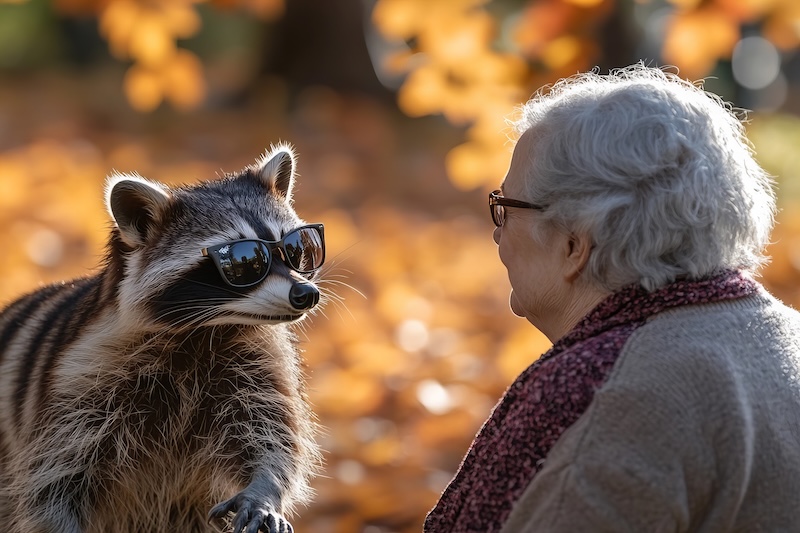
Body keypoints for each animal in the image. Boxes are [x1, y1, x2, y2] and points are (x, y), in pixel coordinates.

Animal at [0, 145, 325, 533]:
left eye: (297, 248)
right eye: (244, 262)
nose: (305, 294)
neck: (206, 331)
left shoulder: (258, 363)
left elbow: (273, 437)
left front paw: (264, 488)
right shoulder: (78, 380)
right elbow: (54, 478)